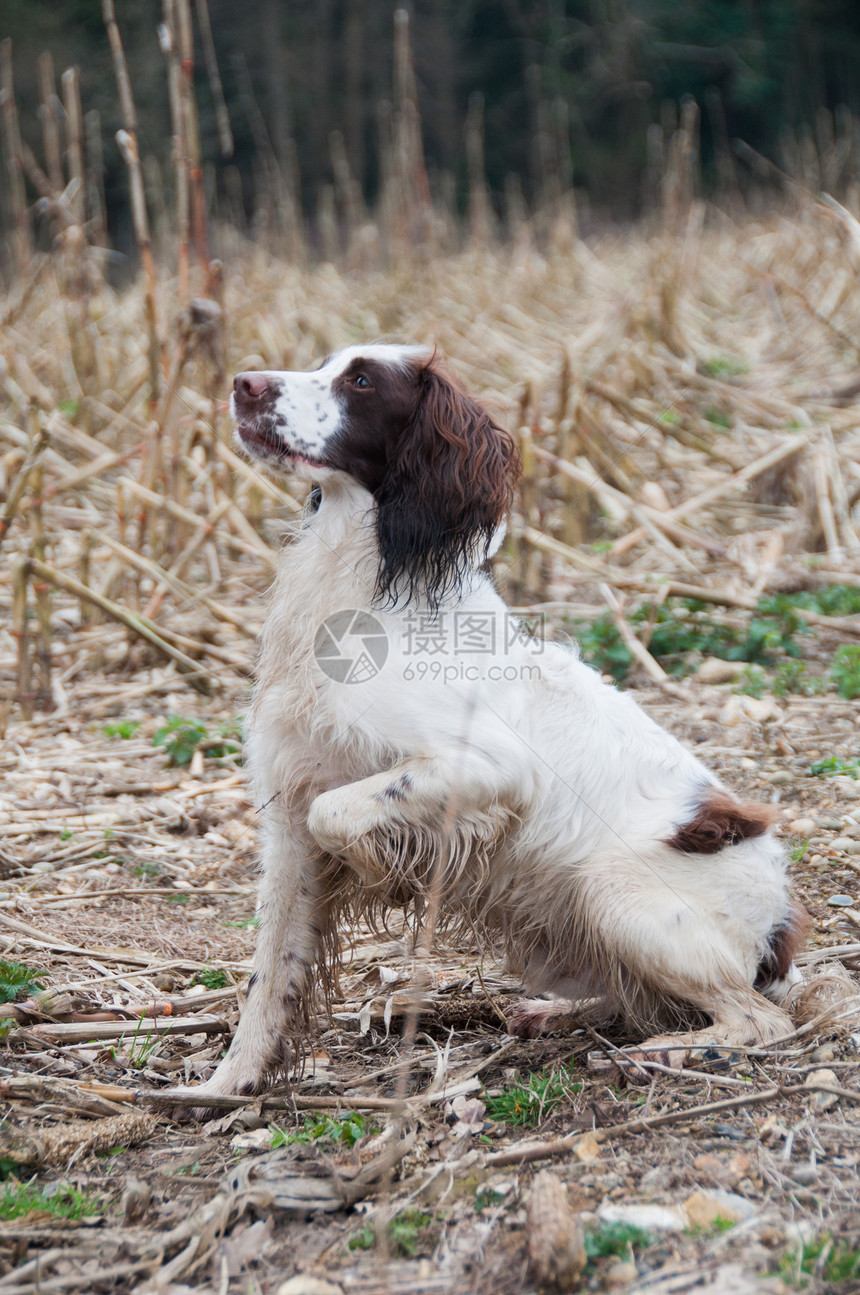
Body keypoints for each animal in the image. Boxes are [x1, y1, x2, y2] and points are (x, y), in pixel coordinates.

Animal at [190, 344, 808, 1103]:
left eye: (361, 379)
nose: (243, 383)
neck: (365, 579)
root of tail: (780, 930)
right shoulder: (286, 816)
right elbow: (269, 973)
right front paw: (225, 1084)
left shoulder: (485, 767)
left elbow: (338, 812)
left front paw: (387, 867)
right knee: (643, 997)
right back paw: (558, 1015)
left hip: (613, 891)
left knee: (756, 1019)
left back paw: (661, 1055)